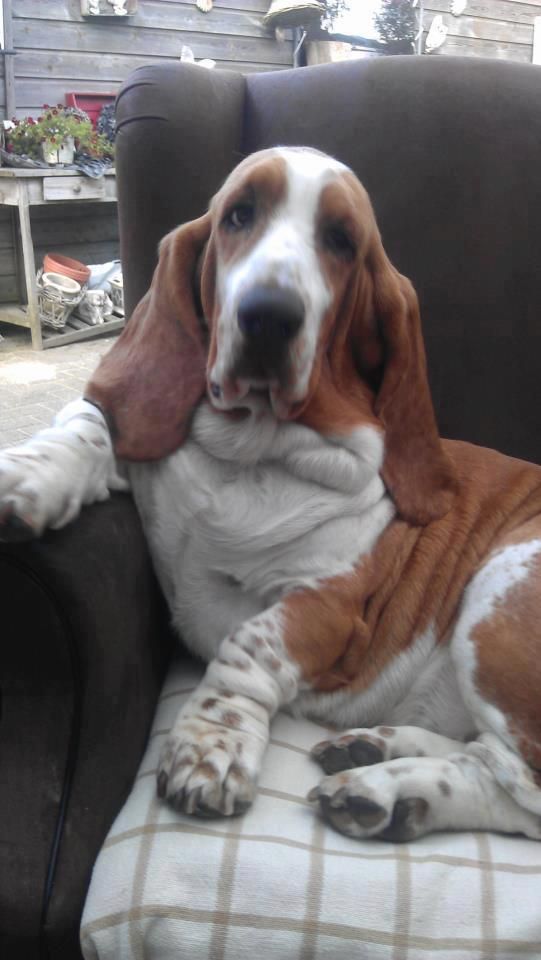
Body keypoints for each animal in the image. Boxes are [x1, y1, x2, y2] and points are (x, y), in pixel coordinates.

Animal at [1, 146, 540, 844]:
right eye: (239, 215)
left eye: (341, 240)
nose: (269, 315)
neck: (249, 454)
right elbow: (89, 425)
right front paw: (27, 476)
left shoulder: (324, 605)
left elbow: (249, 645)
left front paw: (211, 746)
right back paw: (375, 750)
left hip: (501, 589)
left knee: (517, 782)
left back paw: (387, 789)